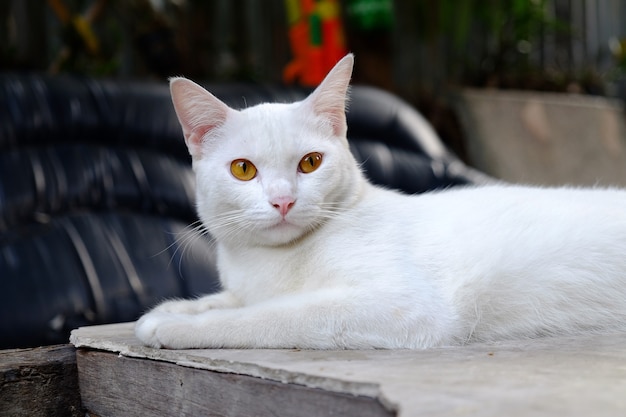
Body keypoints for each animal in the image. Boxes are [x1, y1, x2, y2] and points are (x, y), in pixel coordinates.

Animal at [135, 54, 624, 348]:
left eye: (310, 163)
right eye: (243, 169)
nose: (283, 202)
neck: (271, 263)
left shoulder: (402, 306)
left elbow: (268, 316)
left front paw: (179, 326)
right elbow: (233, 300)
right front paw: (173, 309)